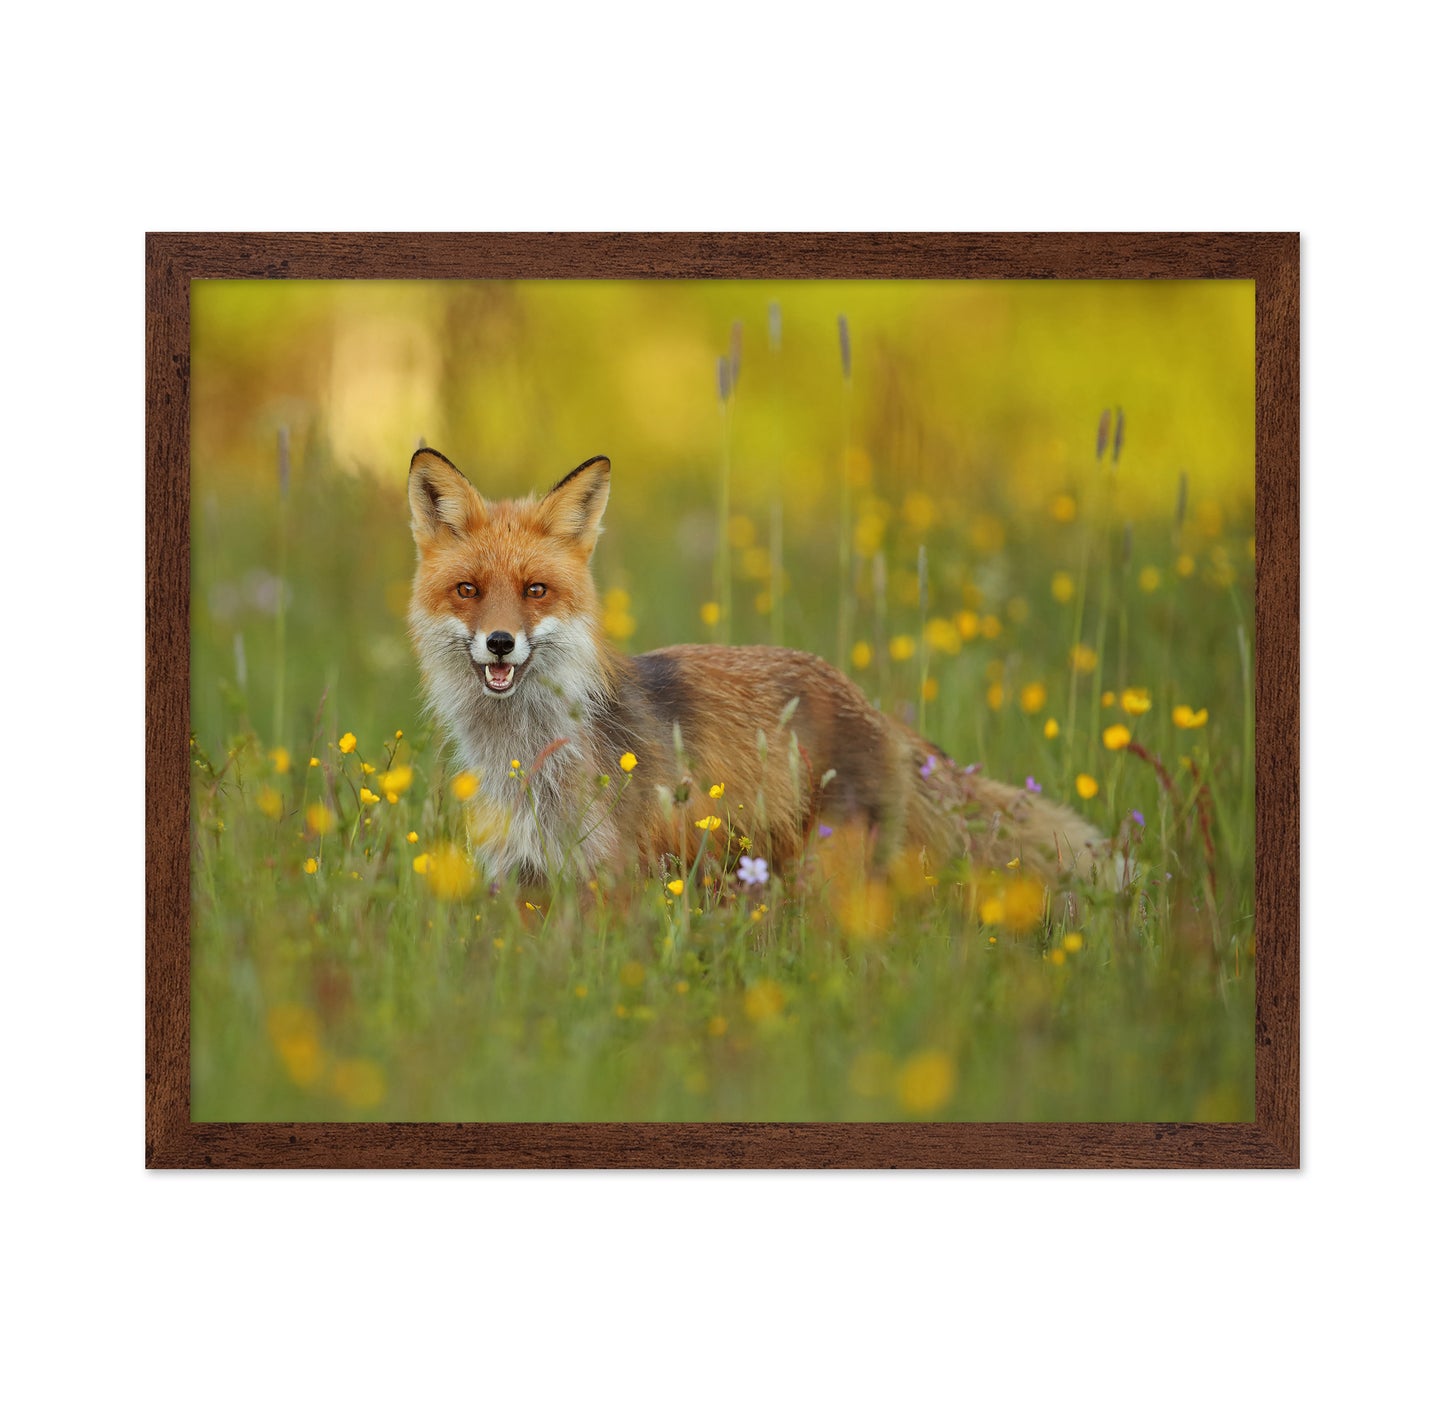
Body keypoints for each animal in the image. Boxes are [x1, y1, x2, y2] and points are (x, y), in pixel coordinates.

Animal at [407, 448, 1116, 892]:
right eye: (468, 591)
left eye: (535, 591)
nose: (500, 643)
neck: (532, 756)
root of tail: (868, 704)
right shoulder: (523, 876)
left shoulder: (610, 875)